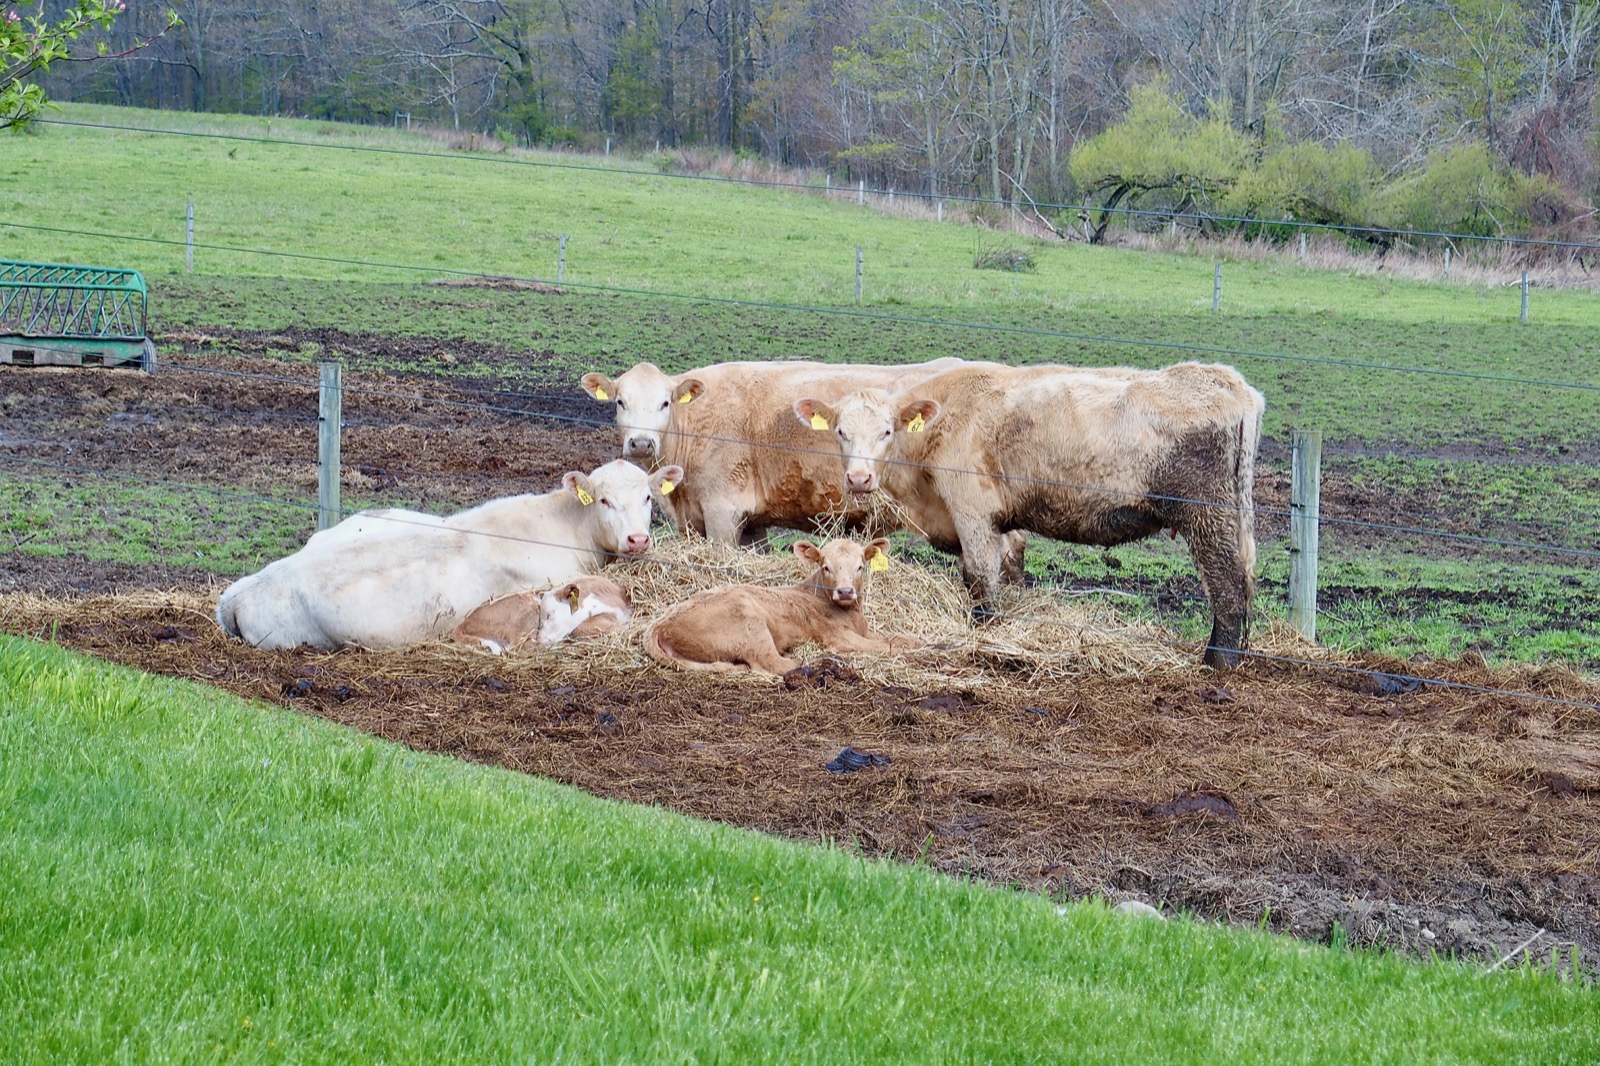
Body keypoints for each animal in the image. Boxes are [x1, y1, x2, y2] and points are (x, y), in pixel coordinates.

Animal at [643, 537, 914, 676]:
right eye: (826, 566)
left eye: (860, 566)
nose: (845, 591)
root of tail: (660, 624)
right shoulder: (836, 637)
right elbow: (884, 646)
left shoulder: (864, 630)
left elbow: (898, 638)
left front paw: (917, 641)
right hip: (750, 624)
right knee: (773, 663)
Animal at [795, 361, 1264, 668]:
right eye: (841, 431)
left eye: (887, 431)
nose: (858, 478)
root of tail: (1225, 380)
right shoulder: (998, 521)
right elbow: (1004, 572)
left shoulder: (972, 511)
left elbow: (981, 584)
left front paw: (984, 641)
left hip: (1207, 515)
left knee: (1228, 586)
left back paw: (1217, 663)